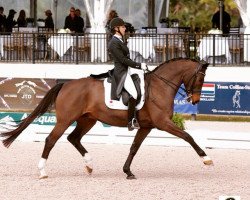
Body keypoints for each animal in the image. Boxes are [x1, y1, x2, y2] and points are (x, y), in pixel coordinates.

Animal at [0, 57, 212, 180]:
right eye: (200, 78)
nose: (195, 100)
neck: (160, 87)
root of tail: (66, 85)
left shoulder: (146, 126)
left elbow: (134, 148)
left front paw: (128, 171)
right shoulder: (162, 123)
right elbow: (187, 136)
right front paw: (206, 159)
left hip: (88, 120)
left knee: (73, 138)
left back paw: (89, 165)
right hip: (65, 120)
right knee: (51, 139)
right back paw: (43, 172)